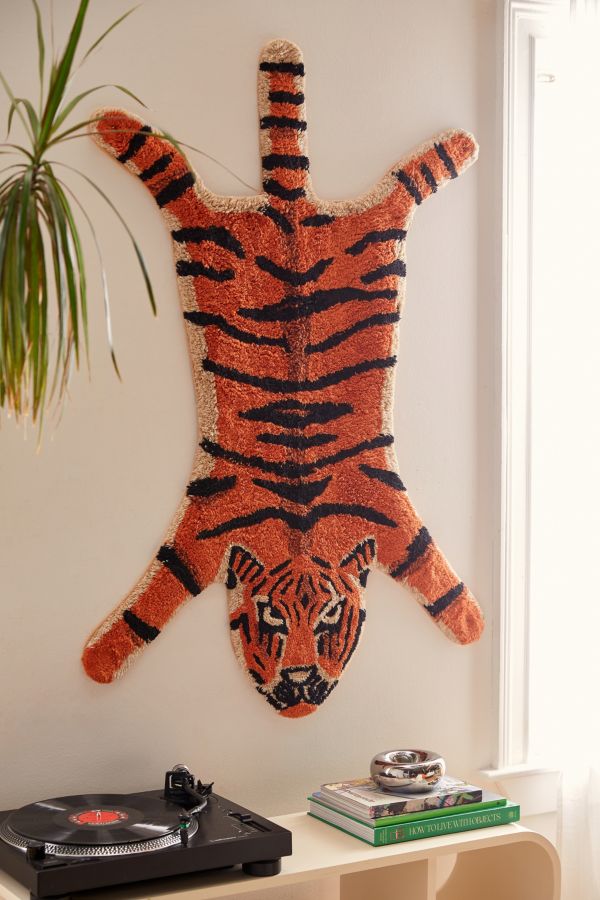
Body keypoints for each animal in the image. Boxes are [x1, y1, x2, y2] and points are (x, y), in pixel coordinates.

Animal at [82, 38, 484, 717]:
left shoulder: (392, 518)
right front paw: (103, 656)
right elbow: (149, 606)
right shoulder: (197, 537)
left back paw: (455, 146)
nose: (298, 690)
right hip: (205, 226)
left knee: (405, 182)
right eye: (268, 617)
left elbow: (435, 574)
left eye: (329, 618)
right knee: (174, 174)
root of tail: (290, 205)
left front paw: (469, 620)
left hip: (376, 225)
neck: (298, 525)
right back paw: (115, 126)